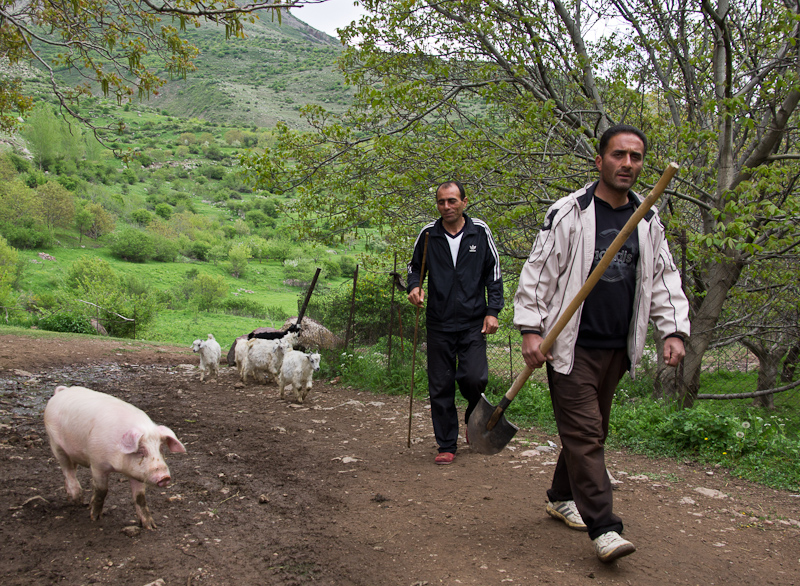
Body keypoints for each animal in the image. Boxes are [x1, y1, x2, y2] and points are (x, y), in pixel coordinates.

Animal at [44, 384, 187, 528]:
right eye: (141, 451)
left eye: (161, 448)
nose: (165, 477)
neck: (117, 465)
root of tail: (62, 392)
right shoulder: (97, 464)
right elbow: (102, 490)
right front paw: (95, 518)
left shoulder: (138, 472)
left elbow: (140, 497)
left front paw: (150, 526)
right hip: (55, 443)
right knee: (67, 469)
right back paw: (77, 499)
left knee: (72, 468)